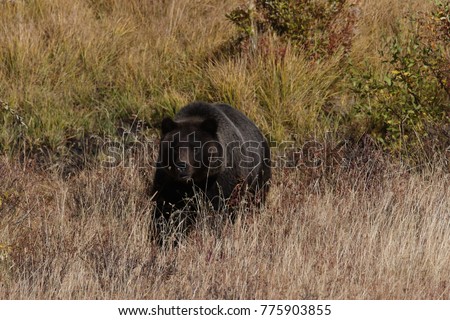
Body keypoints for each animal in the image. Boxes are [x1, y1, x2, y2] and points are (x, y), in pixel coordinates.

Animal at [151, 102, 270, 238]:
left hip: (259, 174)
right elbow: (167, 209)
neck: (196, 181)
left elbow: (221, 208)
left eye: (196, 148)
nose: (182, 165)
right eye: (174, 147)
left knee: (255, 200)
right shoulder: (169, 181)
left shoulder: (222, 180)